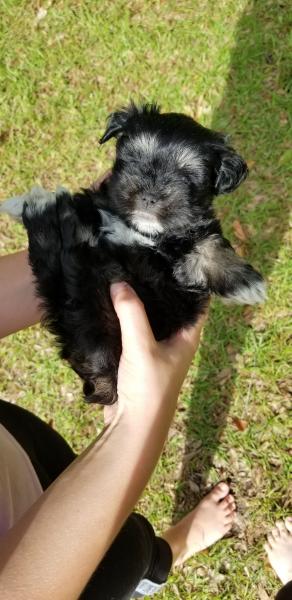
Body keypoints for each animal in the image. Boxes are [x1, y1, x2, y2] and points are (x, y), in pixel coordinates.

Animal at [0, 103, 264, 406]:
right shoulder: (100, 206)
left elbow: (209, 246)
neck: (141, 230)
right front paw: (21, 202)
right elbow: (85, 202)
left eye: (188, 176)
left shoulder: (175, 277)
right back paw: (44, 209)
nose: (149, 196)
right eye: (134, 160)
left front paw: (246, 283)